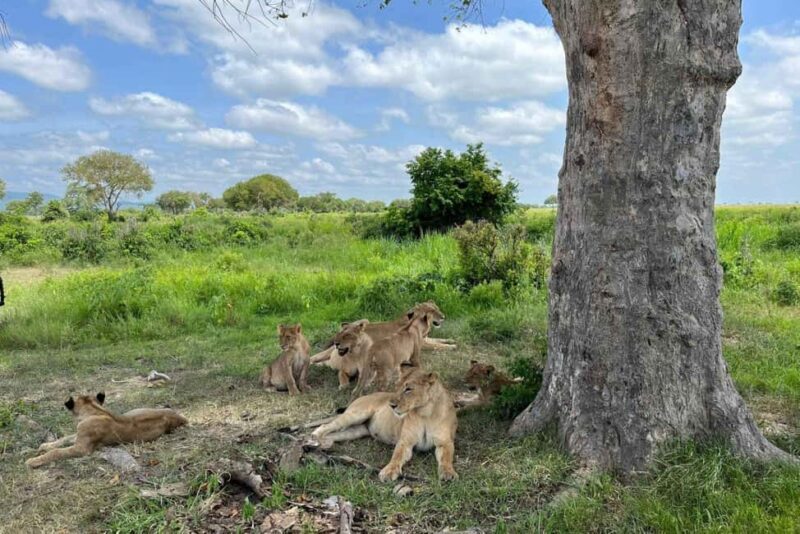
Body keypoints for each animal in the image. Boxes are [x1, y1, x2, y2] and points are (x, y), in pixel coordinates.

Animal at [26, 392, 188, 469]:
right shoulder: (78, 435)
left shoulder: (82, 448)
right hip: (134, 410)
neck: (94, 410)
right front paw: (44, 446)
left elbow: (56, 452)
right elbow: (63, 439)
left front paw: (33, 460)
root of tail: (181, 417)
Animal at [310, 301, 454, 369]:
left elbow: (439, 340)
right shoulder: (422, 344)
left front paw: (451, 340)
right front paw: (452, 347)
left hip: (365, 320)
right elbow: (437, 346)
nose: (443, 317)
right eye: (432, 311)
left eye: (437, 308)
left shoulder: (426, 339)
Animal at [311, 367, 458, 482]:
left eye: (408, 389)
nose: (391, 405)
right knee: (327, 426)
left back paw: (322, 444)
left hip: (355, 431)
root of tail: (364, 396)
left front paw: (448, 473)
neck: (425, 413)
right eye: (397, 387)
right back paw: (314, 437)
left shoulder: (445, 442)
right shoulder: (405, 441)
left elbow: (446, 458)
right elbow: (396, 456)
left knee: (334, 434)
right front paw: (389, 472)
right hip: (356, 414)